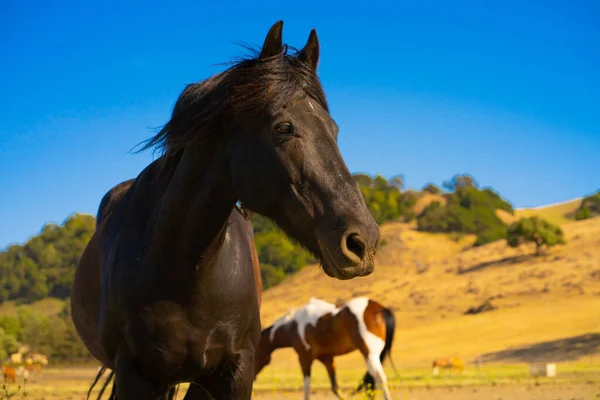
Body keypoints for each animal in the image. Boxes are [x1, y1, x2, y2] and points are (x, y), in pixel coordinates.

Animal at [70, 21, 380, 400]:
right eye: (284, 127)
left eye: (334, 130)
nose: (364, 243)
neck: (181, 272)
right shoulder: (134, 374)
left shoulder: (235, 370)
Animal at [255, 296, 396, 400]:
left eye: (255, 352)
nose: (253, 376)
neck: (293, 326)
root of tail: (380, 309)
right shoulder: (327, 359)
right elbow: (335, 388)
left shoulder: (304, 358)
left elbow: (306, 386)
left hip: (369, 353)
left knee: (380, 377)